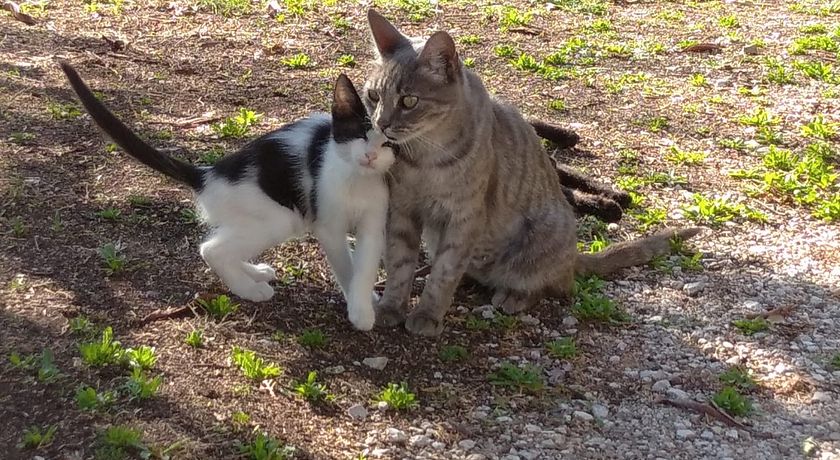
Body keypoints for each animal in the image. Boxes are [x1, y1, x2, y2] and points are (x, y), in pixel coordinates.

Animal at [60, 63, 396, 328]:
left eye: (387, 144)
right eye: (359, 134)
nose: (369, 156)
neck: (358, 180)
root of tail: (209, 173)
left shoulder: (374, 223)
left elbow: (364, 266)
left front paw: (364, 302)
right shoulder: (328, 225)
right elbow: (346, 265)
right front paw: (358, 309)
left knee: (223, 243)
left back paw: (254, 272)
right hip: (280, 217)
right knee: (211, 250)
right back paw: (250, 289)